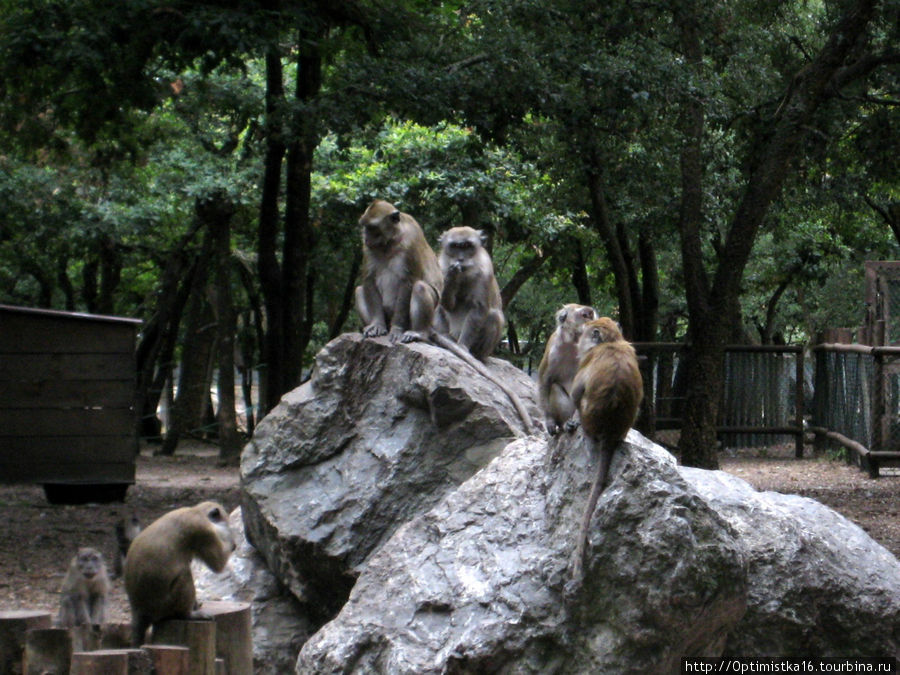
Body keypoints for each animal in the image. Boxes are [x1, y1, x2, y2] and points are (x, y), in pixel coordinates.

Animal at [125, 500, 236, 648]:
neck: (194, 511)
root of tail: (139, 610)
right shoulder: (203, 530)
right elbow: (218, 564)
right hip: (164, 607)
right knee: (184, 574)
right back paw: (187, 614)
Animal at [356, 199, 446, 346]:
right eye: (364, 226)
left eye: (372, 228)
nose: (365, 237)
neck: (390, 241)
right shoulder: (367, 247)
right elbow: (369, 279)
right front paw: (377, 325)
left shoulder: (411, 242)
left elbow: (407, 282)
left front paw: (397, 329)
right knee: (359, 290)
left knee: (420, 287)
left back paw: (419, 333)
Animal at [434, 227, 506, 362]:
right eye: (455, 246)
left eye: (467, 246)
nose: (461, 259)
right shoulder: (441, 269)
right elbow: (448, 305)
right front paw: (452, 277)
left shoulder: (484, 273)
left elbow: (478, 309)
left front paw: (463, 346)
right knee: (437, 306)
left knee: (494, 316)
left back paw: (475, 354)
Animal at [540, 304, 596, 436]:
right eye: (585, 315)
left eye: (591, 315)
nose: (591, 321)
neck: (573, 342)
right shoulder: (552, 350)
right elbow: (545, 380)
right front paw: (549, 421)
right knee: (554, 387)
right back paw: (566, 424)